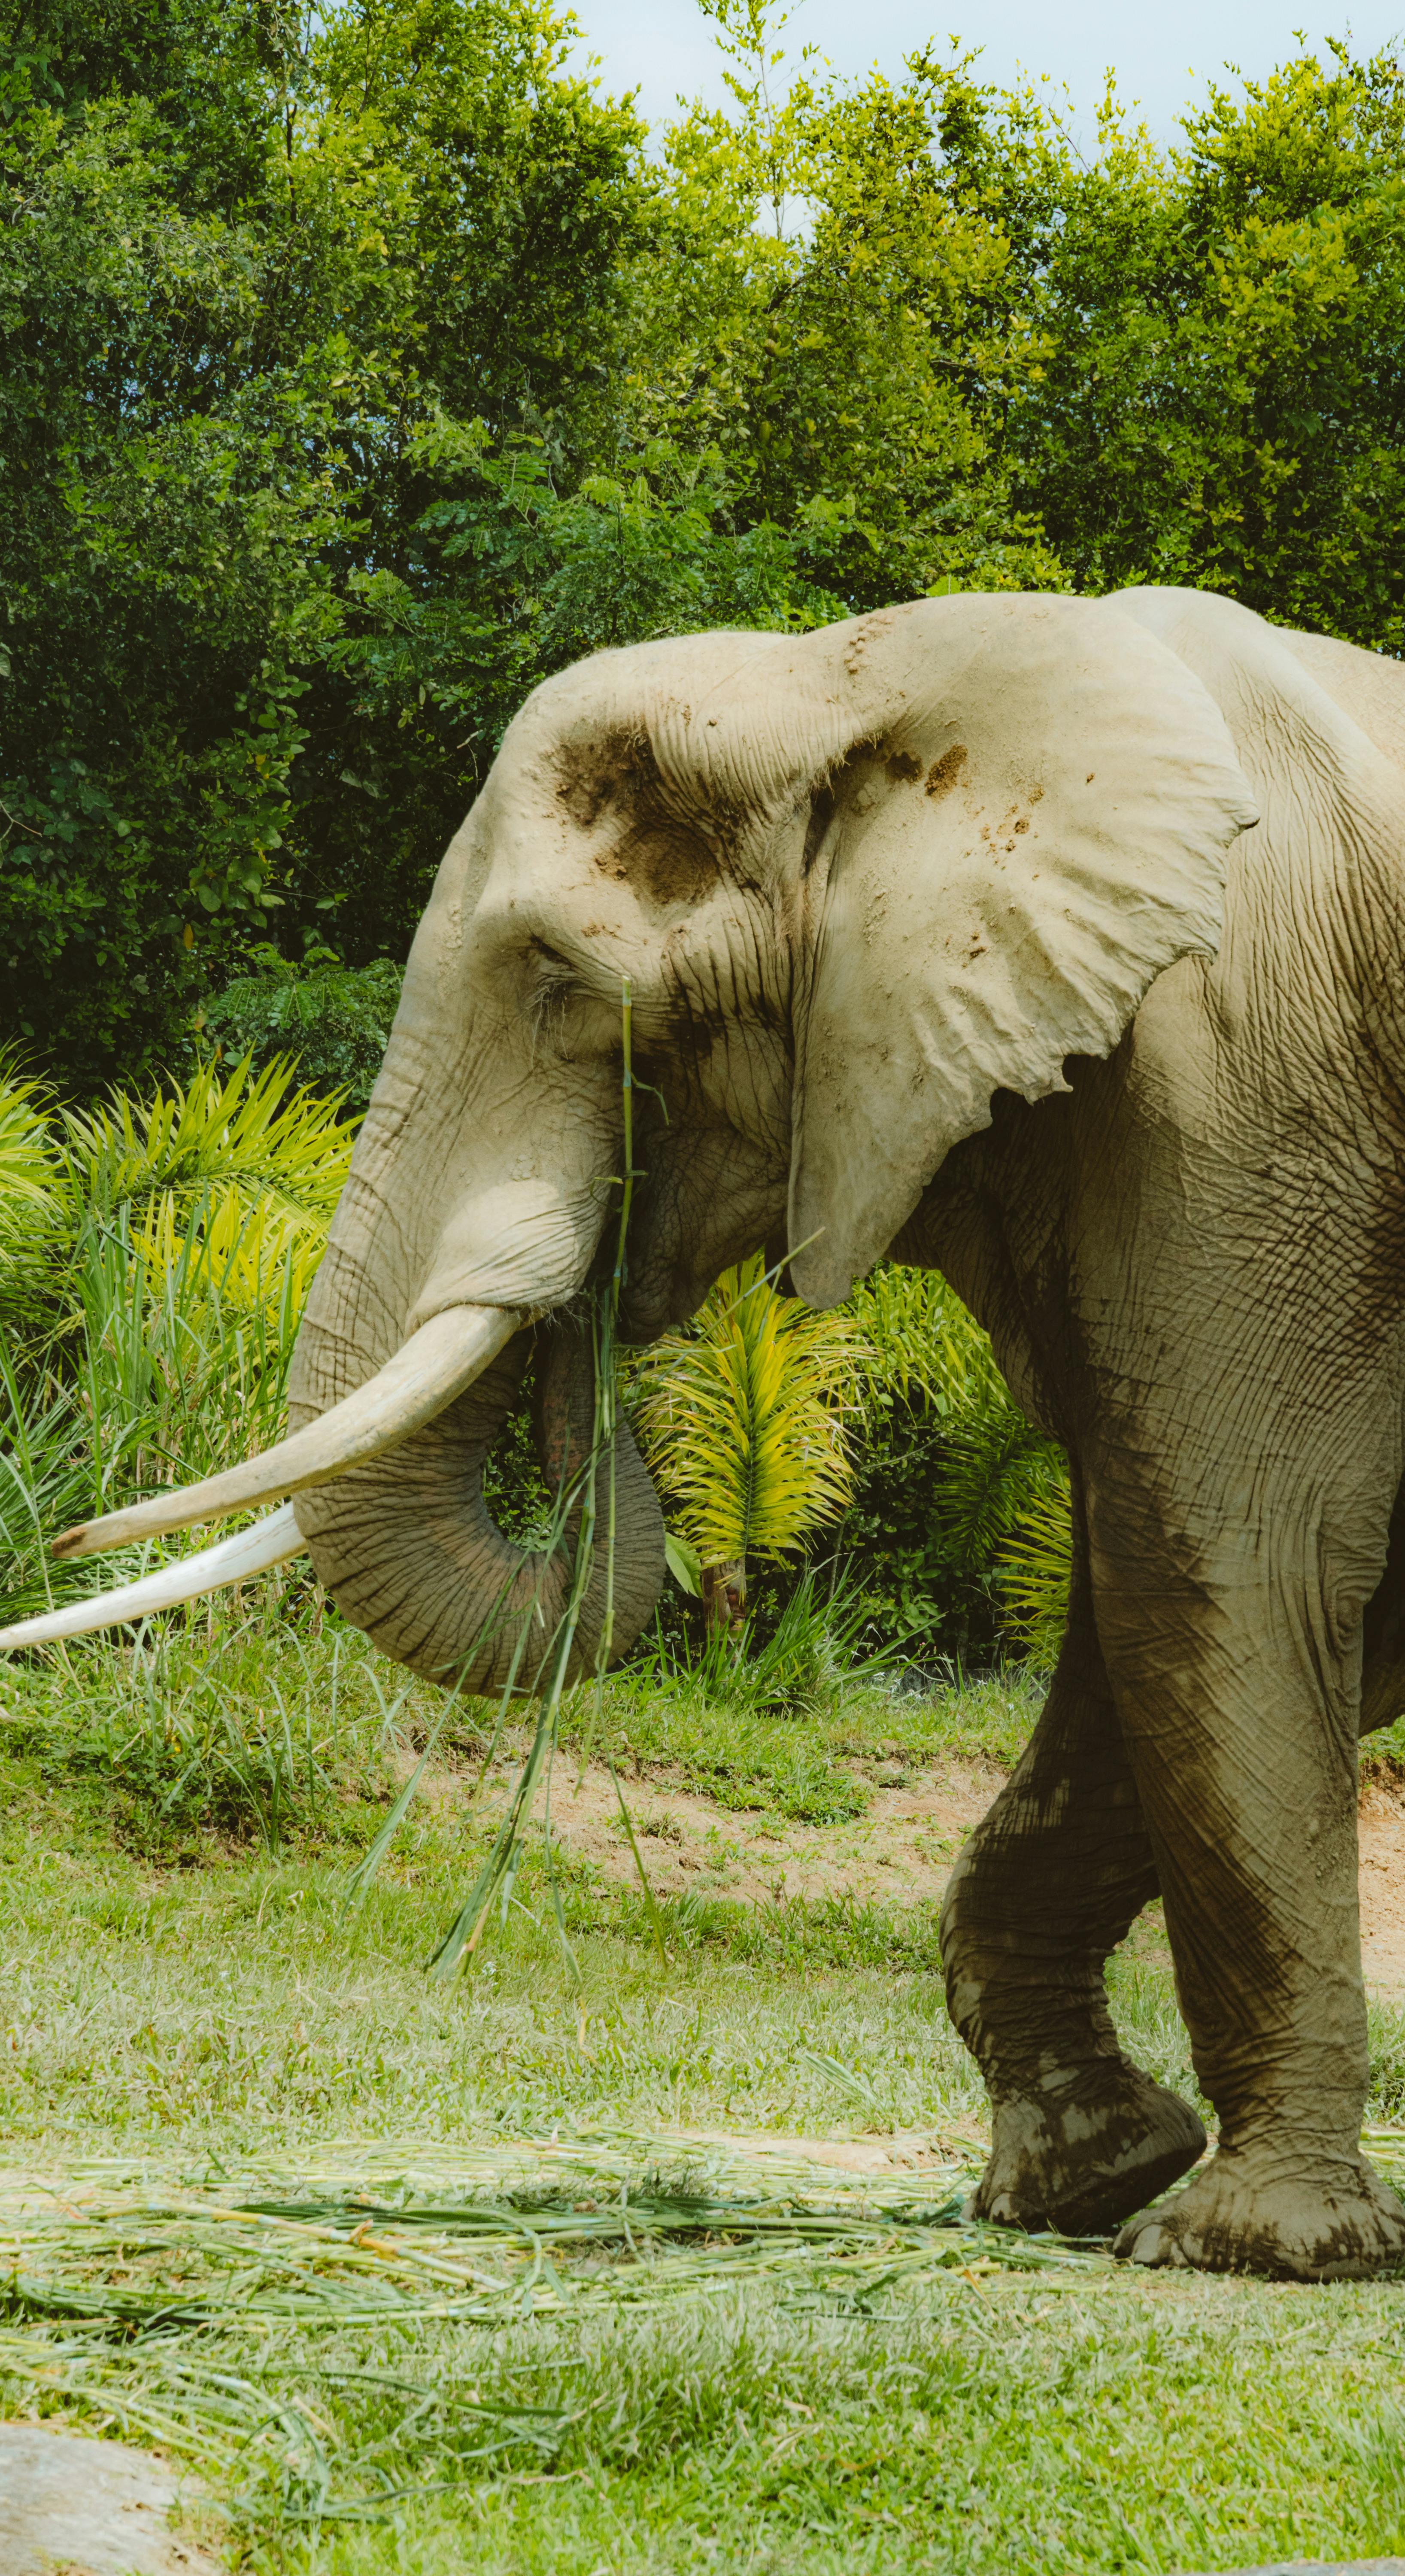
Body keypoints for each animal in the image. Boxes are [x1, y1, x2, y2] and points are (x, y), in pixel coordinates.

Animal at [11, 581, 1405, 2281]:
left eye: (560, 982)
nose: (600, 1284)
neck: (846, 679)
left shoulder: (1244, 1086)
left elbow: (1231, 1559)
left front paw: (1242, 2245)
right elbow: (1170, 1608)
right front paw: (1078, 2178)